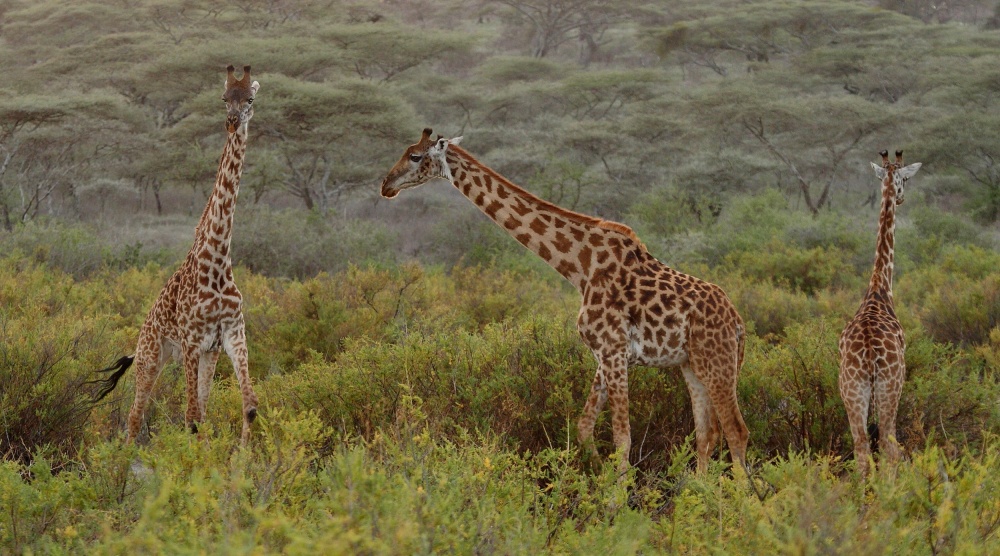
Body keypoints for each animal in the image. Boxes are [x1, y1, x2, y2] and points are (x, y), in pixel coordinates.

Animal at [92, 65, 262, 446]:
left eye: (250, 99)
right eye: (224, 98)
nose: (232, 121)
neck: (218, 259)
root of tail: (143, 327)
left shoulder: (230, 335)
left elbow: (247, 408)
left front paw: (242, 459)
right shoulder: (191, 339)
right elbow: (191, 417)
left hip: (200, 354)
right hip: (152, 355)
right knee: (135, 416)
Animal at [380, 129, 752, 474]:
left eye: (415, 156)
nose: (386, 185)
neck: (580, 268)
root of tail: (737, 323)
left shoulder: (612, 349)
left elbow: (622, 436)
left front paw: (615, 495)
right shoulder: (605, 355)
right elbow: (585, 427)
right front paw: (595, 475)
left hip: (716, 361)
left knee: (736, 431)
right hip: (691, 364)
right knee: (707, 434)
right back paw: (700, 491)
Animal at [836, 149, 920, 478]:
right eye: (905, 180)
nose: (902, 198)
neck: (879, 289)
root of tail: (871, 354)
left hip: (851, 390)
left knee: (860, 446)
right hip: (890, 387)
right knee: (888, 444)